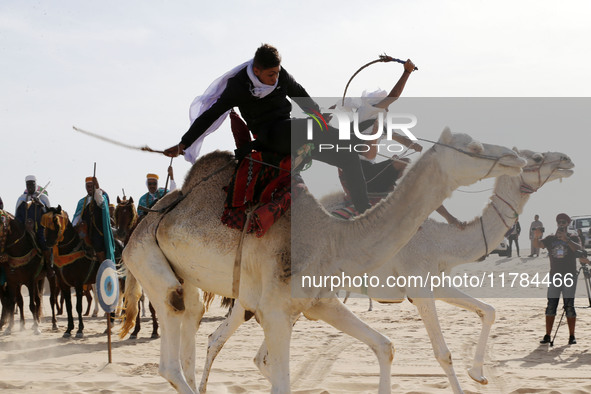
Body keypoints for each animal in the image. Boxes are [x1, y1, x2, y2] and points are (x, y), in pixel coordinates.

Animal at [113, 197, 158, 338]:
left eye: (129, 213)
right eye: (118, 213)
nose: (121, 233)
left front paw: (155, 331)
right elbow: (135, 301)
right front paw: (135, 330)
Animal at [120, 127, 528, 392]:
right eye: (474, 146)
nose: (518, 157)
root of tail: (136, 229)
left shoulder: (324, 300)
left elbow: (389, 344)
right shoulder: (279, 307)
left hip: (205, 286)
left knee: (197, 331)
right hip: (168, 273)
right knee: (185, 348)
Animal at [202, 149, 572, 394]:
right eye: (535, 159)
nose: (567, 160)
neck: (442, 240)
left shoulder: (434, 282)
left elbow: (489, 310)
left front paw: (479, 374)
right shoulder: (420, 285)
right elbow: (443, 353)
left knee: (255, 353)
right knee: (224, 339)